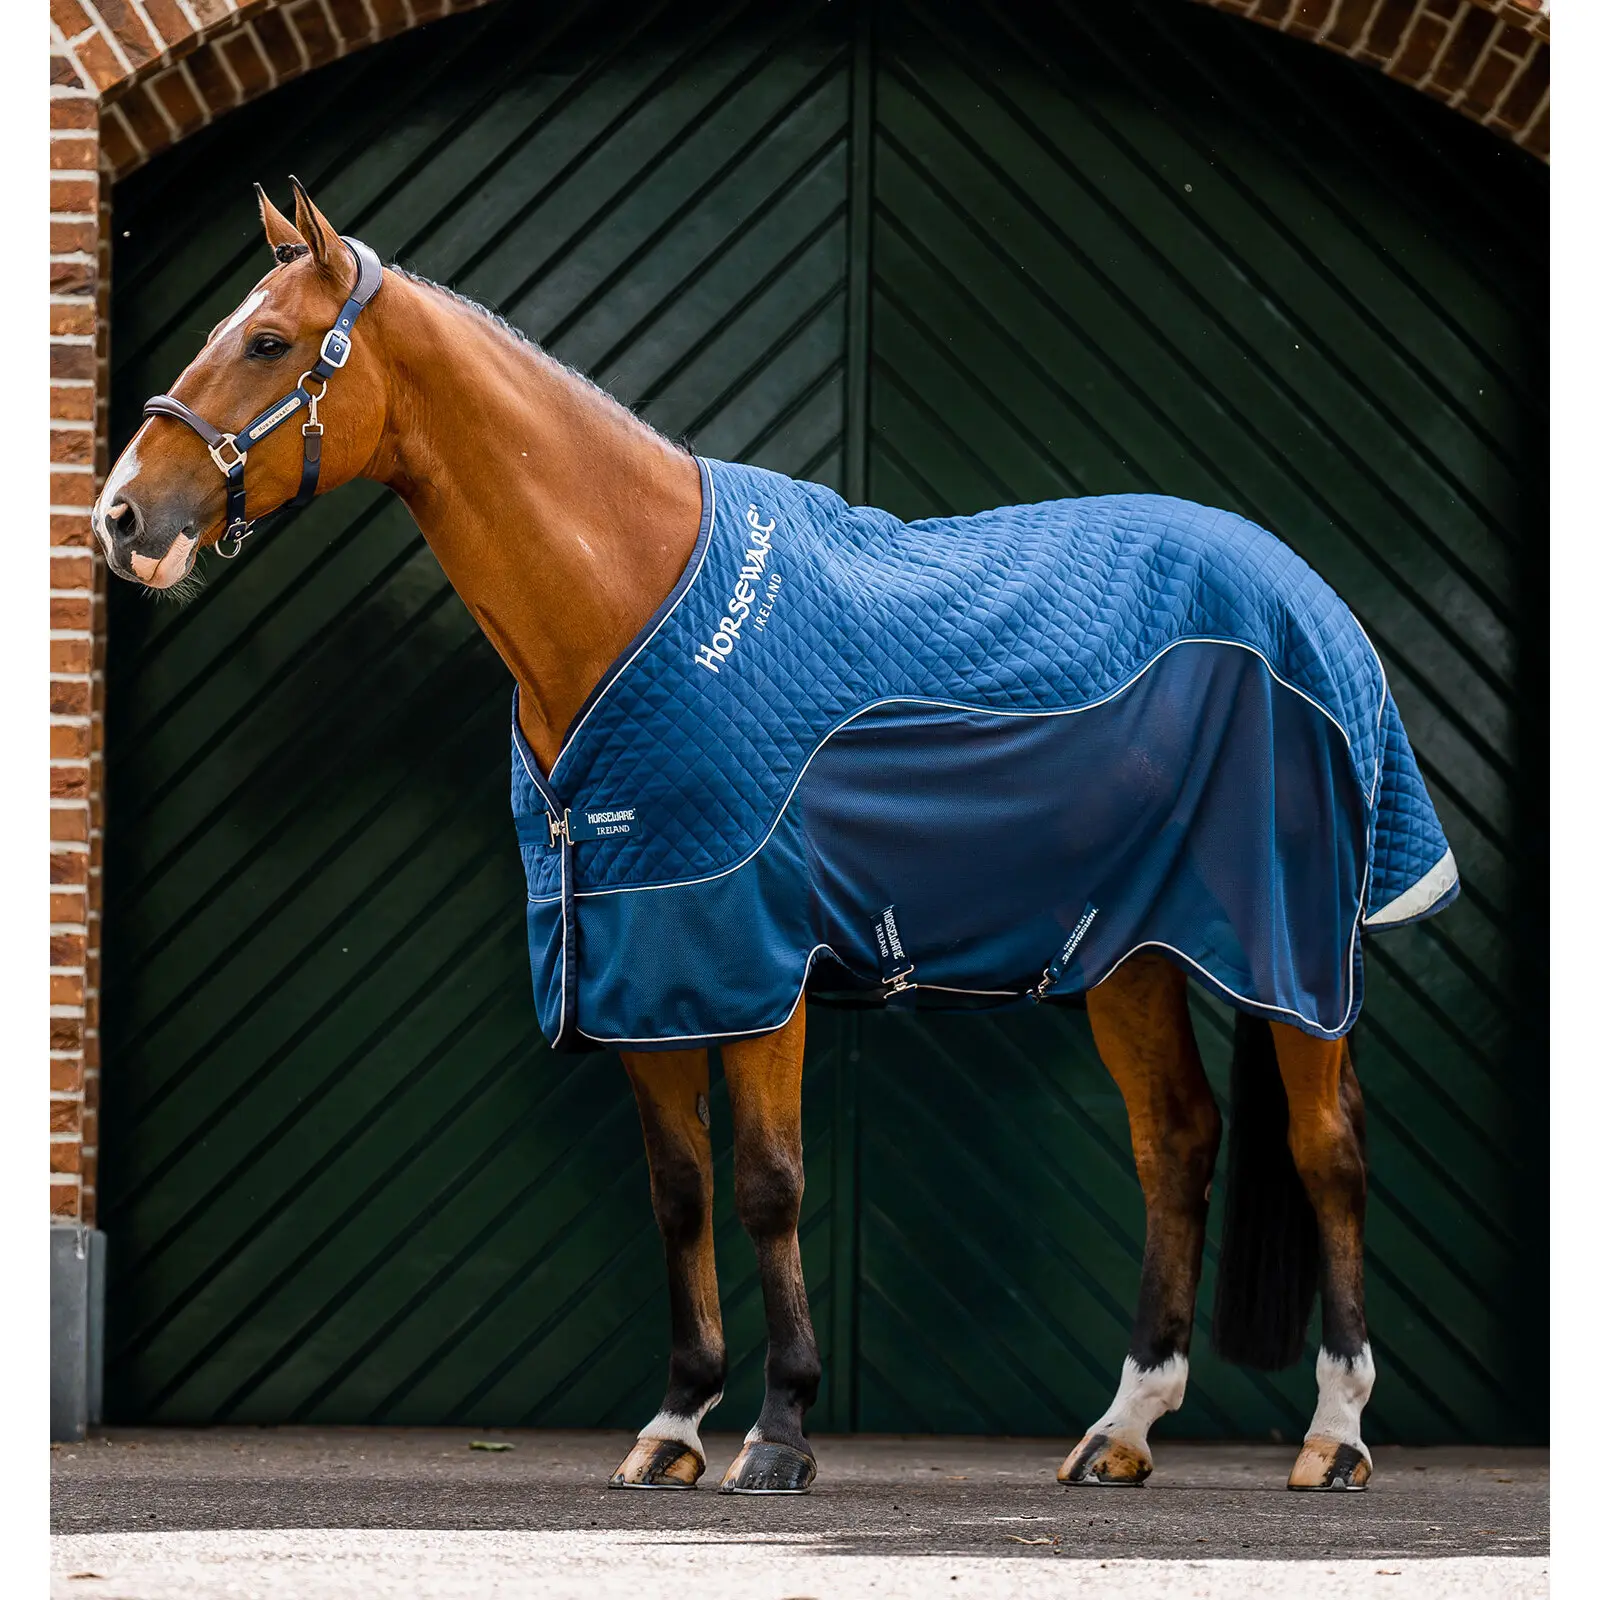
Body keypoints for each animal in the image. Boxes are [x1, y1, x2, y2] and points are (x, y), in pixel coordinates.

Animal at [93, 179, 1457, 1498]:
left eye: (269, 343)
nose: (120, 518)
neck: (627, 595)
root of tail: (1306, 597)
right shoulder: (637, 965)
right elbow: (679, 1194)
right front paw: (674, 1423)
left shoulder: (754, 964)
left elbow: (768, 1185)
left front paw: (782, 1429)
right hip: (1129, 951)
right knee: (1174, 1139)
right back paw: (1120, 1429)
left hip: (1292, 953)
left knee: (1326, 1151)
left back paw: (1334, 1435)